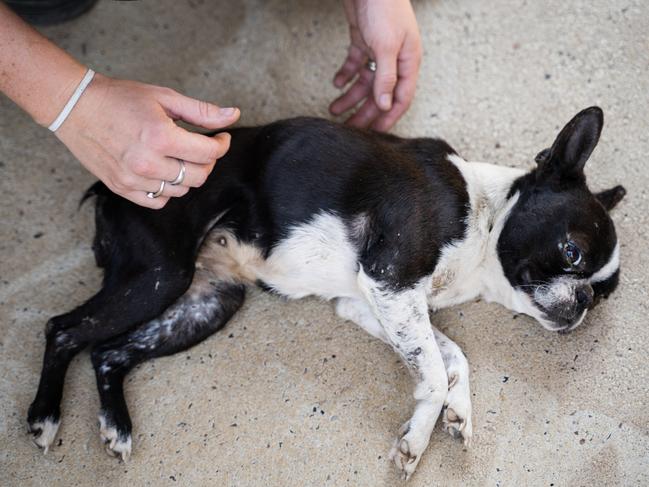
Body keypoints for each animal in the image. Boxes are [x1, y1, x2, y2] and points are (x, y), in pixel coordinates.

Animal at [26, 107, 624, 480]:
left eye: (605, 294)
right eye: (572, 252)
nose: (582, 303)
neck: (483, 214)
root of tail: (108, 182)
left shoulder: (372, 303)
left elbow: (452, 355)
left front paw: (458, 412)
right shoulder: (391, 282)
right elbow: (433, 367)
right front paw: (417, 438)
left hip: (208, 304)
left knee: (109, 352)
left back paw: (116, 427)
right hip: (158, 274)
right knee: (64, 330)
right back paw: (44, 417)